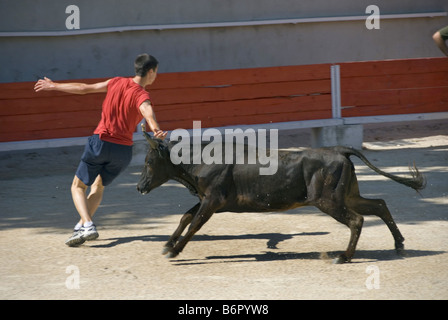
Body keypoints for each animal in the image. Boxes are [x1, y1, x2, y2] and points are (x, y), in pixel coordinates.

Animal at [136, 130, 424, 262]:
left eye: (149, 161)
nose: (139, 187)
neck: (198, 160)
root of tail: (338, 150)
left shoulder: (212, 201)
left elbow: (194, 223)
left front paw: (175, 251)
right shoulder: (207, 200)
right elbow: (186, 217)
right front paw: (167, 245)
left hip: (328, 201)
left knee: (357, 220)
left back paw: (344, 256)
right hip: (346, 196)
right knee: (379, 205)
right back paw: (399, 244)